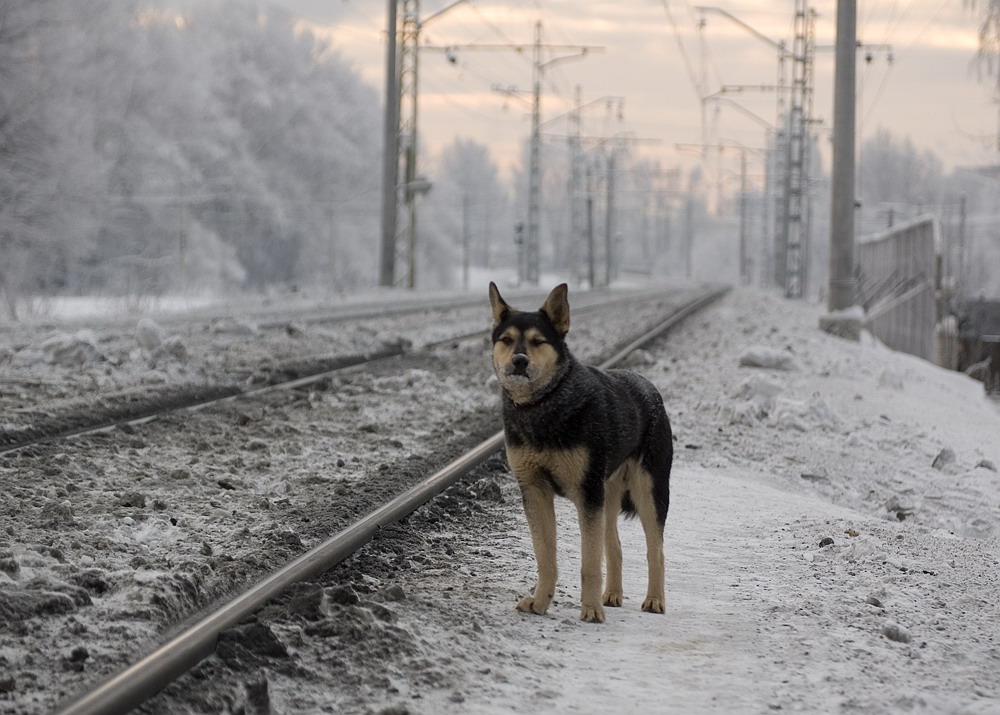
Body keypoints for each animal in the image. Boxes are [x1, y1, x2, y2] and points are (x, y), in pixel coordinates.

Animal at [486, 282, 672, 624]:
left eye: (538, 341)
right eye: (506, 340)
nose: (519, 360)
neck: (545, 404)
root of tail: (649, 387)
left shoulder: (587, 494)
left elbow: (589, 562)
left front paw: (591, 610)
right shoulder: (535, 489)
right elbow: (545, 556)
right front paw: (540, 602)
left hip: (649, 491)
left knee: (656, 551)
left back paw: (654, 600)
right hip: (608, 493)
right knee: (615, 547)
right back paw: (612, 595)